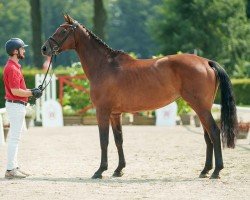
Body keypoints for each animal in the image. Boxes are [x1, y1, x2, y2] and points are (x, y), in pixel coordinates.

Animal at [41, 14, 238, 179]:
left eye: (63, 31)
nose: (44, 48)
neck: (105, 66)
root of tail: (206, 62)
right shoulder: (115, 114)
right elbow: (118, 140)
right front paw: (118, 169)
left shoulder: (102, 111)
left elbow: (104, 140)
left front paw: (100, 170)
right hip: (201, 108)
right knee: (207, 136)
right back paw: (205, 170)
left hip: (200, 107)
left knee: (214, 132)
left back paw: (216, 171)